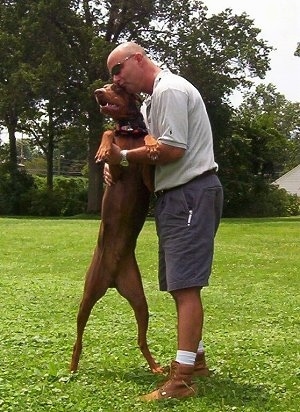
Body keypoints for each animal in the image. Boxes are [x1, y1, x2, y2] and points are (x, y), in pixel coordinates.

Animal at [69, 83, 162, 374]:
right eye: (106, 85)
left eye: (117, 87)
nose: (97, 91)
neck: (128, 131)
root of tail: (112, 280)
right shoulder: (116, 170)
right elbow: (108, 133)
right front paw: (103, 147)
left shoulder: (148, 178)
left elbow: (149, 141)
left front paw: (152, 143)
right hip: (88, 294)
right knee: (78, 336)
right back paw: (72, 366)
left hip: (140, 299)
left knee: (141, 339)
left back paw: (155, 366)